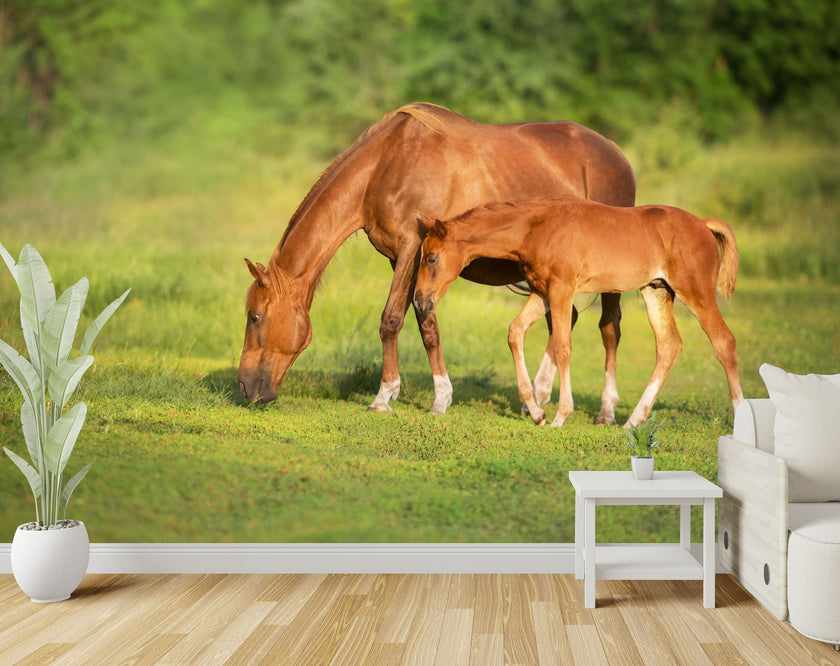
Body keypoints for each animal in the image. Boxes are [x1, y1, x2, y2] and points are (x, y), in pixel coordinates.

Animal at [238, 103, 636, 423]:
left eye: (254, 316)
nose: (243, 388)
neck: (387, 165)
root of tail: (618, 156)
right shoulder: (406, 260)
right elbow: (424, 322)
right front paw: (439, 397)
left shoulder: (412, 248)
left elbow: (392, 321)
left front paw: (387, 397)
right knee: (565, 320)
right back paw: (535, 399)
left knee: (609, 328)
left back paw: (605, 410)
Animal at [413, 197, 743, 427]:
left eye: (431, 258)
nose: (419, 302)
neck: (536, 227)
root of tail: (703, 224)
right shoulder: (541, 291)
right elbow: (515, 332)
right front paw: (537, 413)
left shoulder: (561, 289)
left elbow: (562, 346)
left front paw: (560, 416)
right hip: (657, 291)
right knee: (669, 346)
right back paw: (633, 421)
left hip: (696, 293)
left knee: (724, 342)